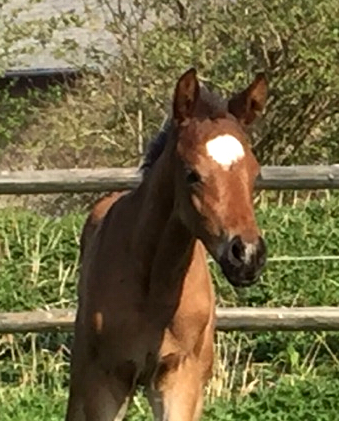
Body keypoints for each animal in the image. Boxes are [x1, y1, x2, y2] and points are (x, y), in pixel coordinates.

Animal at [65, 67, 268, 418]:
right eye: (192, 174)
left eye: (255, 174)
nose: (247, 255)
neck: (154, 284)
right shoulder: (106, 382)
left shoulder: (179, 377)